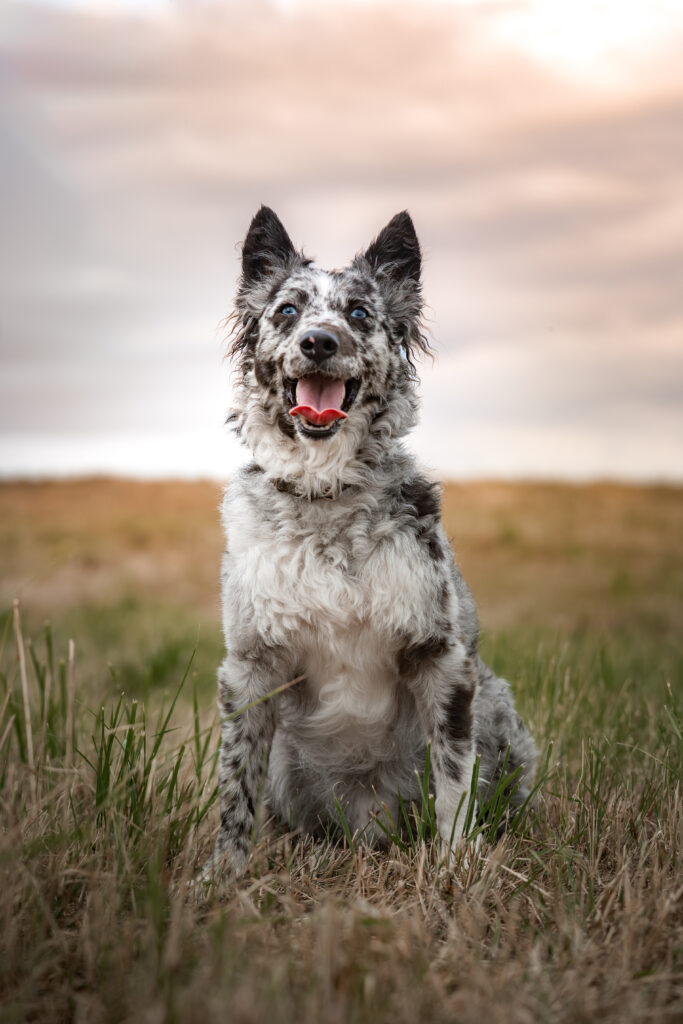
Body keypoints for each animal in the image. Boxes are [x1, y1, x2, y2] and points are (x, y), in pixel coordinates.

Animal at [210, 205, 536, 872]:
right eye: (288, 310)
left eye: (359, 313)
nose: (319, 341)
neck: (327, 496)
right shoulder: (249, 667)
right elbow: (235, 789)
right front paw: (219, 878)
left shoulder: (442, 658)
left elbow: (454, 781)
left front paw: (455, 865)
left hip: (497, 706)